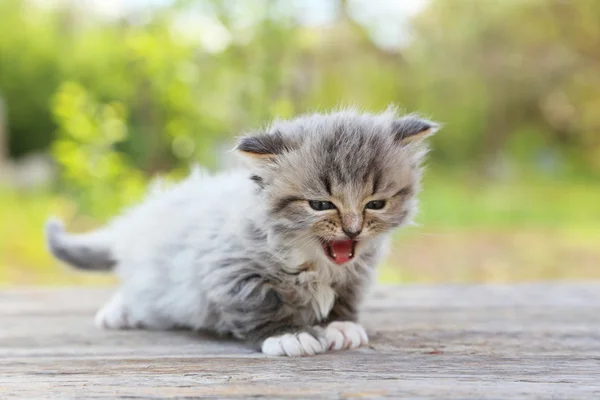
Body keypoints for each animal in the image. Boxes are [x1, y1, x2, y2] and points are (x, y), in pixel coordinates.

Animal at [44, 108, 438, 358]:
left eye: (376, 204)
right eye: (320, 205)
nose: (353, 230)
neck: (315, 262)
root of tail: (141, 217)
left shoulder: (356, 273)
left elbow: (343, 299)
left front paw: (340, 326)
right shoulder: (231, 270)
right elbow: (262, 304)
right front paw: (290, 335)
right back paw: (119, 313)